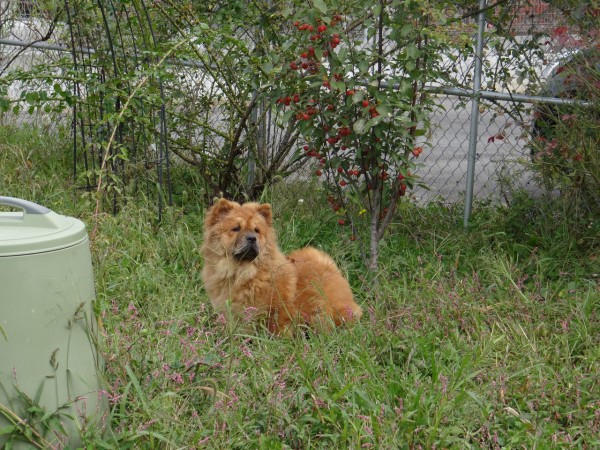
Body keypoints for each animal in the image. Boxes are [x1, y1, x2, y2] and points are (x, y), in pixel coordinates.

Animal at [200, 198, 360, 334]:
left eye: (257, 230)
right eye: (236, 229)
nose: (252, 238)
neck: (242, 273)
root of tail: (331, 268)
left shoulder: (277, 311)